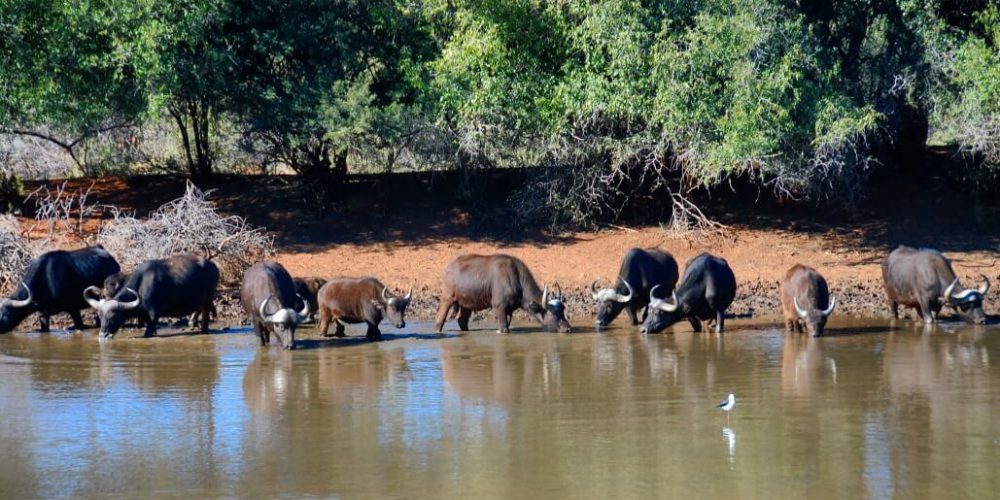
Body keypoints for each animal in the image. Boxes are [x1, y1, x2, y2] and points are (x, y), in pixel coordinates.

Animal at [85, 254, 219, 340]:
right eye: (100, 316)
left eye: (113, 316)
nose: (103, 335)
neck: (141, 285)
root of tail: (214, 266)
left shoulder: (154, 315)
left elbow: (148, 332)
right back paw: (192, 323)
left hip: (208, 298)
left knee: (205, 315)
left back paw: (203, 330)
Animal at [432, 254, 572, 336]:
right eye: (553, 313)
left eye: (563, 311)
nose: (568, 328)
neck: (516, 278)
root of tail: (449, 268)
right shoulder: (499, 306)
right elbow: (504, 329)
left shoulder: (509, 310)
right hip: (447, 298)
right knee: (440, 319)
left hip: (466, 304)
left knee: (462, 320)